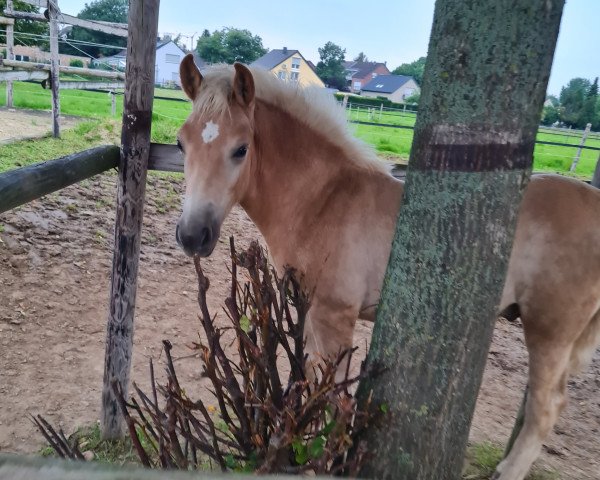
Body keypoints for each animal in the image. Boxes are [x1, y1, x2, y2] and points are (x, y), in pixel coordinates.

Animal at [173, 52, 600, 480]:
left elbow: (336, 398)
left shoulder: (335, 316)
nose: (193, 235)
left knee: (546, 408)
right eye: (181, 142)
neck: (323, 200)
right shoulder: (308, 313)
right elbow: (310, 382)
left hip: (550, 330)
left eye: (241, 149)